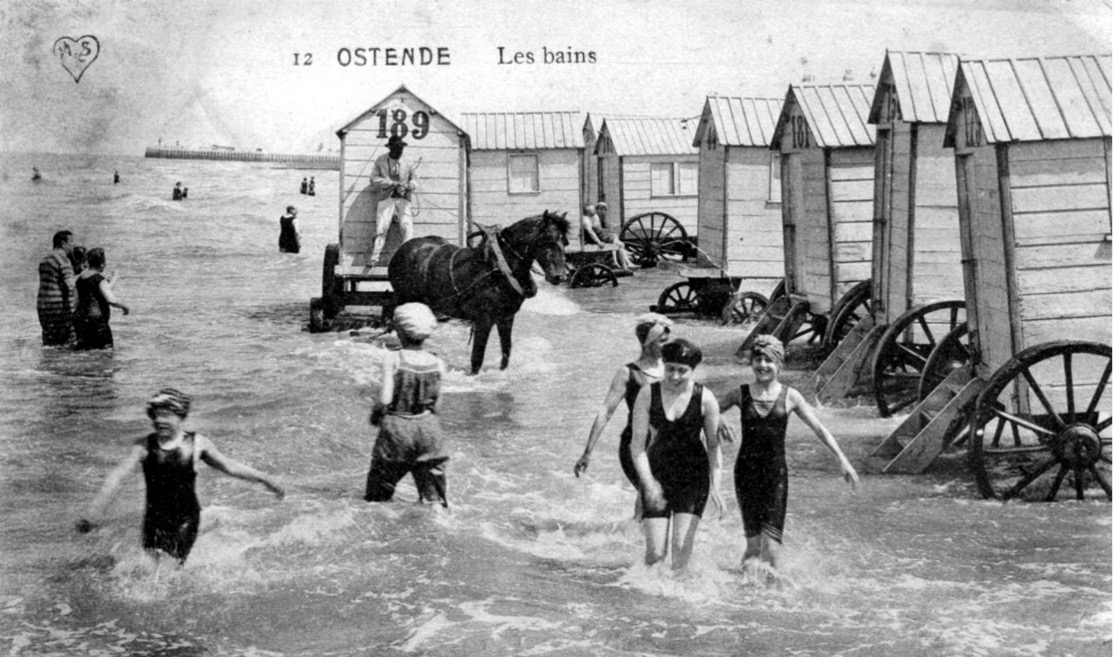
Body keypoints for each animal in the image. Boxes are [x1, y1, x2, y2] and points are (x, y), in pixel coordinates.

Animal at [388, 211, 570, 376]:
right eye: (546, 240)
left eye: (564, 242)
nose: (560, 276)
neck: (499, 269)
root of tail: (403, 249)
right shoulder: (483, 320)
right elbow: (477, 357)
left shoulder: (506, 317)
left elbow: (506, 350)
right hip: (405, 299)